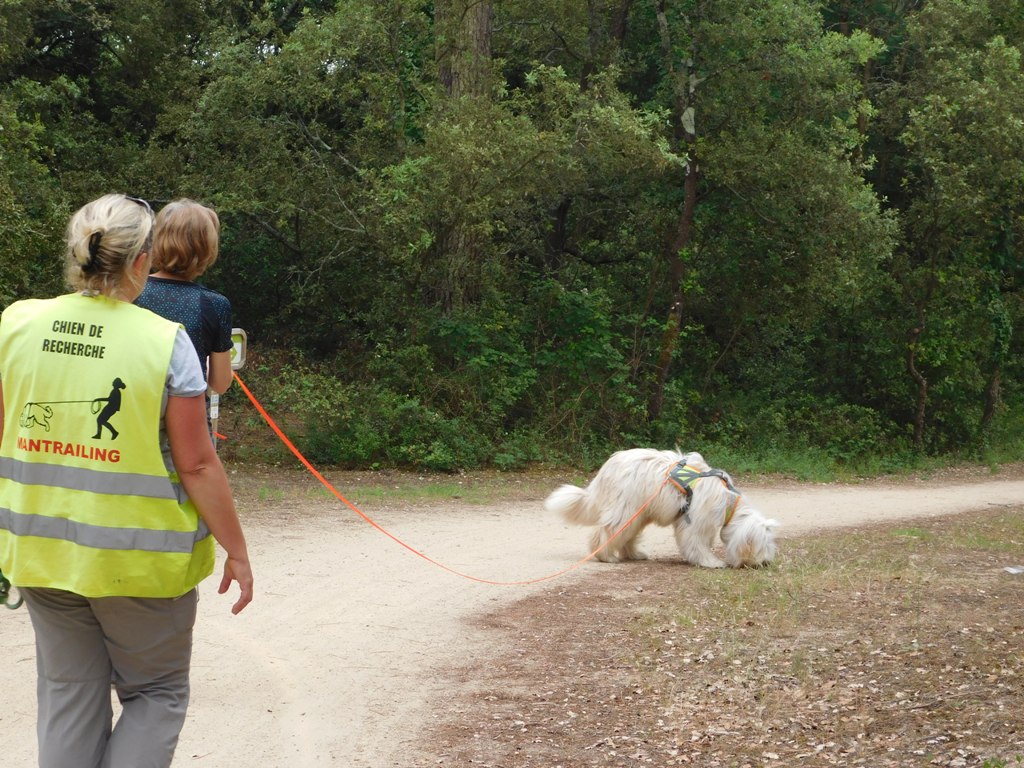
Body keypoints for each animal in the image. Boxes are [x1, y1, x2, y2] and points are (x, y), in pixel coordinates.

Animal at [548, 448, 778, 569]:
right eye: (764, 543)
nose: (767, 562)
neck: (729, 501)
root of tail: (608, 467)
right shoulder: (696, 522)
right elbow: (697, 543)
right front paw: (711, 562)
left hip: (639, 513)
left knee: (626, 536)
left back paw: (634, 553)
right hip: (626, 509)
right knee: (606, 532)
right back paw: (606, 556)